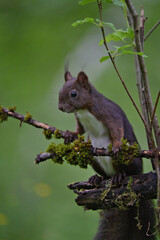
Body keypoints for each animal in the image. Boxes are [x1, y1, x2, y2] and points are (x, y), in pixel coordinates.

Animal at [58, 71, 156, 240]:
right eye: (60, 90)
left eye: (73, 93)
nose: (60, 107)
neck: (85, 109)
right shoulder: (80, 119)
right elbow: (80, 131)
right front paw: (71, 134)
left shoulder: (107, 112)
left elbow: (116, 126)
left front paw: (116, 146)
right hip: (94, 158)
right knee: (103, 173)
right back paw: (97, 178)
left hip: (130, 160)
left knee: (128, 171)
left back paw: (120, 176)